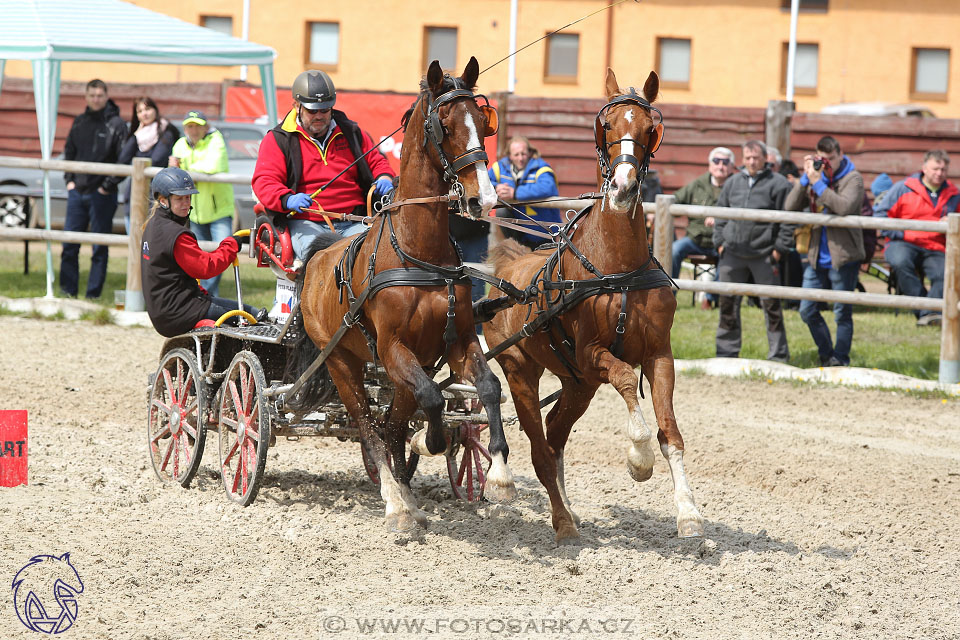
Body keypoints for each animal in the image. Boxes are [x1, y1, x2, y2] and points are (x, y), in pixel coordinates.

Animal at [292, 58, 516, 528]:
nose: (484, 198)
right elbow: (431, 401)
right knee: (367, 421)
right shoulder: (392, 347)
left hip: (410, 364)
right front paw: (427, 445)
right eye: (444, 125)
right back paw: (395, 499)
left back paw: (405, 489)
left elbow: (488, 388)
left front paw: (500, 475)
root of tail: (319, 255)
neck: (418, 253)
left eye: (483, 122)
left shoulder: (456, 342)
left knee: (393, 422)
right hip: (342, 361)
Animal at [484, 67, 700, 544]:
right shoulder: (591, 354)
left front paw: (688, 513)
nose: (623, 187)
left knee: (555, 434)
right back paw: (558, 519)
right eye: (607, 126)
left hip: (577, 384)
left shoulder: (659, 354)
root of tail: (507, 267)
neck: (616, 270)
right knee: (539, 446)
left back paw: (567, 510)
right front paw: (638, 460)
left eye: (650, 129)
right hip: (522, 371)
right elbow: (625, 378)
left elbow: (671, 433)